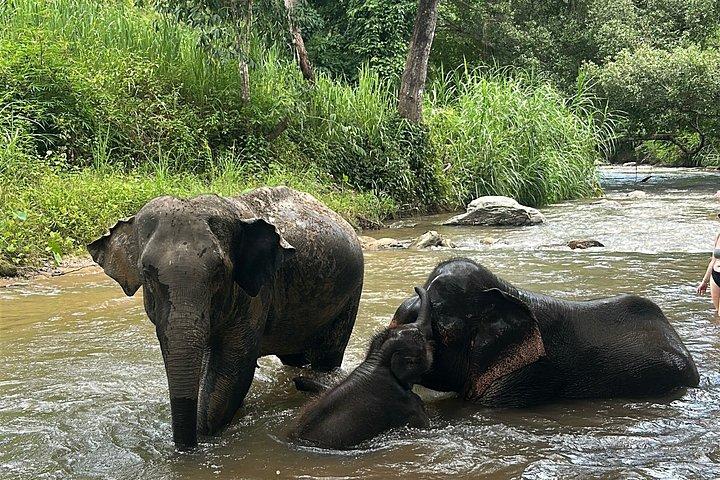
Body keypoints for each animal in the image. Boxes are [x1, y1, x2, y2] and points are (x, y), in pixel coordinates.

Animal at [88, 186, 364, 450]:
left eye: (219, 272)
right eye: (146, 272)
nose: (185, 449)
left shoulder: (256, 294)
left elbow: (232, 367)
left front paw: (204, 433)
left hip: (350, 296)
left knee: (327, 357)